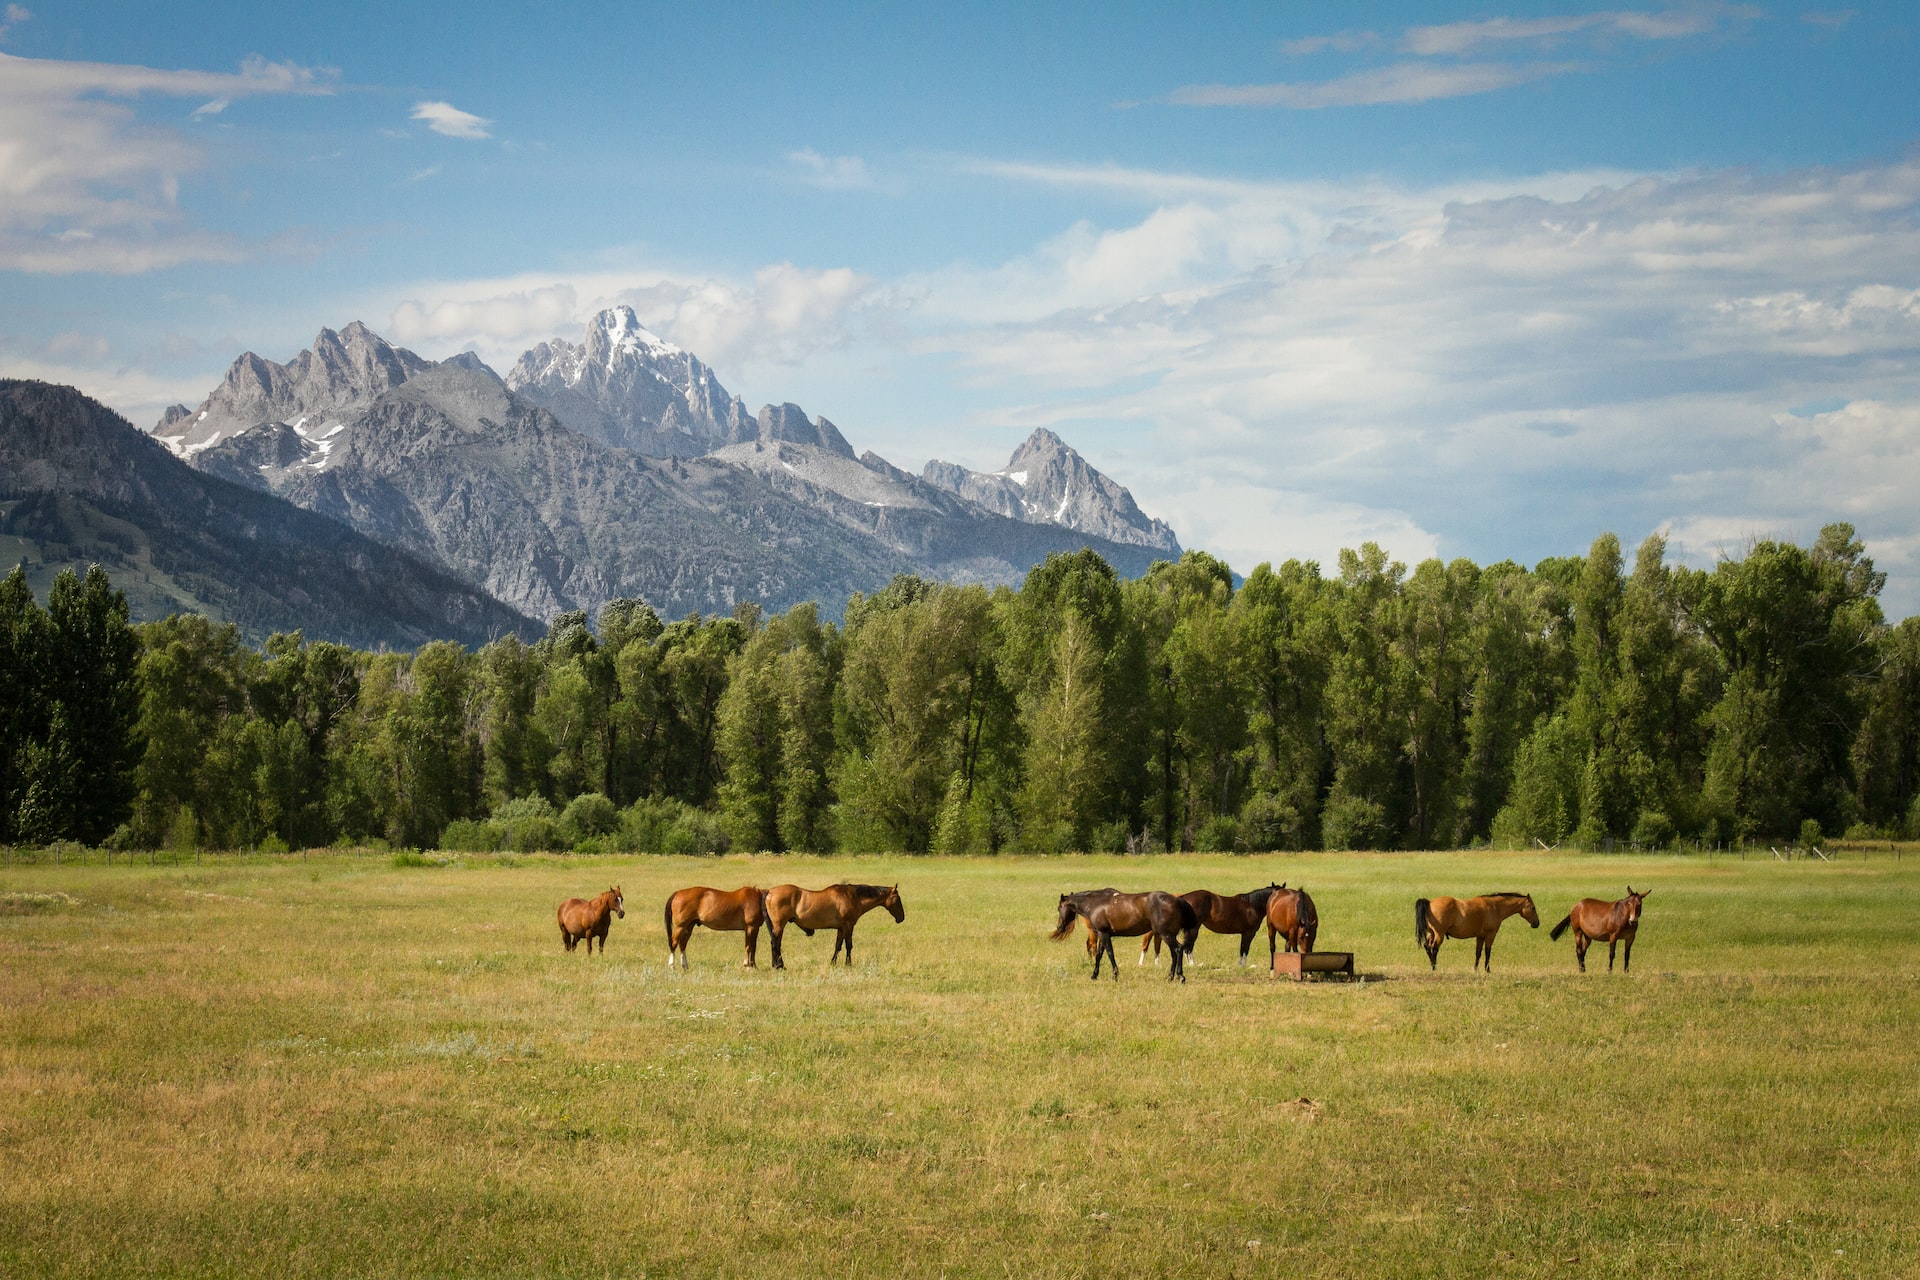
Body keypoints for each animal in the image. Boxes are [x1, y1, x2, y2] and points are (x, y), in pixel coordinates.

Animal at [764, 882, 906, 971]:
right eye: (897, 899)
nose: (902, 918)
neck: (853, 897)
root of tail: (769, 892)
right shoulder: (848, 926)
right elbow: (849, 945)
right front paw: (848, 963)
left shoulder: (841, 928)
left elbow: (838, 946)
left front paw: (833, 963)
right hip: (779, 925)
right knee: (775, 944)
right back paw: (779, 966)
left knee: (775, 943)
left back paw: (777, 965)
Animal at [1059, 890, 1190, 982]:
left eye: (1059, 908)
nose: (1060, 927)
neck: (1095, 904)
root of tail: (1176, 900)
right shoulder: (1103, 935)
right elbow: (1099, 955)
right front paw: (1094, 975)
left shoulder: (1104, 934)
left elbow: (1110, 954)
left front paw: (1115, 975)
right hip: (1168, 935)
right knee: (1174, 954)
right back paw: (1170, 977)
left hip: (1166, 935)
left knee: (1178, 949)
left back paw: (1180, 976)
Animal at [1128, 886, 1282, 967]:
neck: (1252, 905)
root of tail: (1182, 898)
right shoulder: (1249, 933)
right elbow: (1245, 949)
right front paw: (1243, 965)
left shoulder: (1244, 933)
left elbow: (1242, 949)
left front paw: (1240, 964)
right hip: (1193, 929)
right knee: (1188, 947)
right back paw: (1192, 964)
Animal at [1413, 890, 1543, 971]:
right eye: (1533, 907)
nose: (1537, 924)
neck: (1495, 907)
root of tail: (1430, 902)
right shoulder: (1491, 935)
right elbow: (1487, 952)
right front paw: (1487, 970)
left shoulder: (1480, 937)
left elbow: (1478, 953)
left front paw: (1475, 969)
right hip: (1439, 935)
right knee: (1434, 948)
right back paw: (1434, 967)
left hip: (1431, 933)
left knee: (1427, 947)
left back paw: (1432, 966)